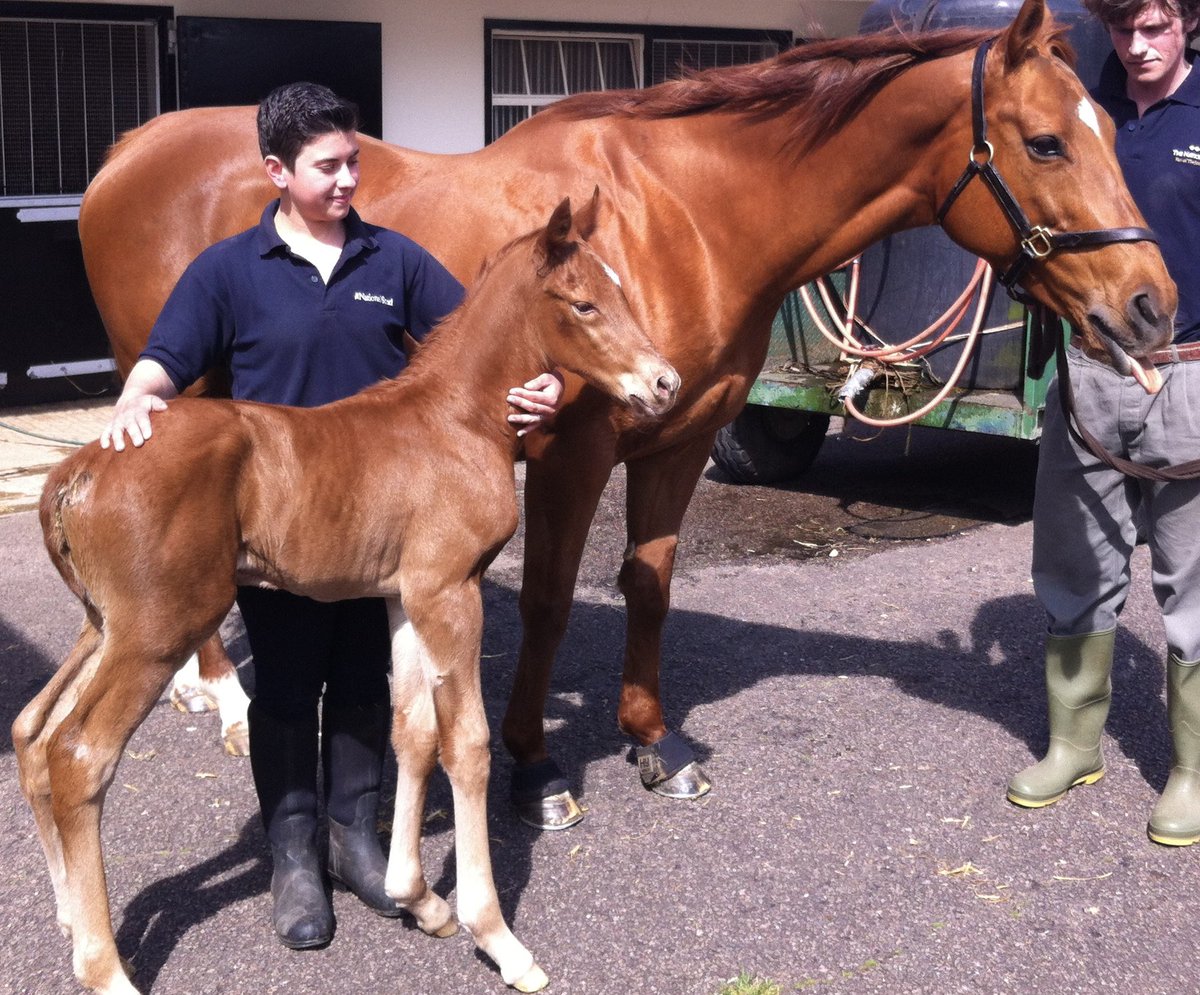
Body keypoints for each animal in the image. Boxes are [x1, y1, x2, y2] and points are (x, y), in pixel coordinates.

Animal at [78, 0, 1175, 829]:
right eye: (1045, 142)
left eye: (1109, 130)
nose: (1152, 306)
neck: (684, 213)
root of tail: (130, 151)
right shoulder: (576, 448)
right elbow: (551, 600)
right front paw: (536, 770)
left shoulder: (678, 438)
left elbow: (648, 583)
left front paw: (653, 741)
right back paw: (225, 699)